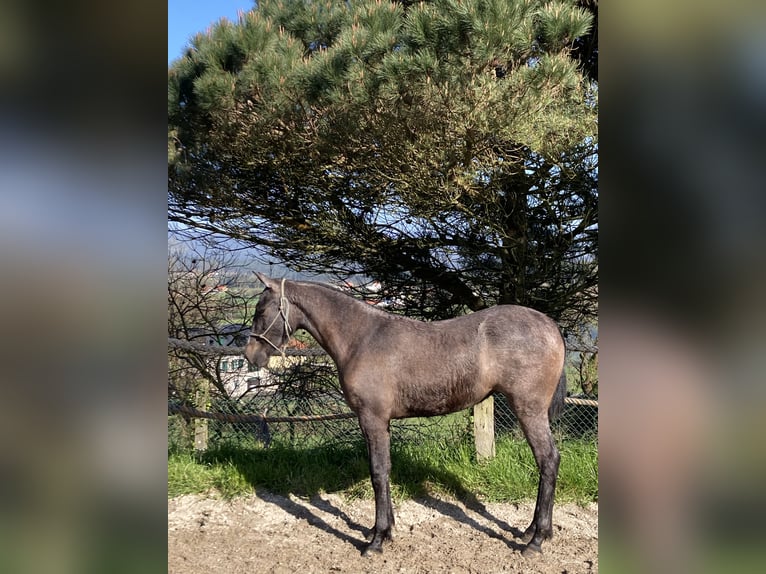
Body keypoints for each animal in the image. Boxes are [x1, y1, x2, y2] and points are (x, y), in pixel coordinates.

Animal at [244, 274, 567, 557]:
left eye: (261, 310)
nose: (250, 355)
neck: (360, 338)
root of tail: (549, 325)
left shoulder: (372, 419)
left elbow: (377, 473)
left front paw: (376, 541)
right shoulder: (381, 423)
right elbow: (385, 470)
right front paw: (384, 530)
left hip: (529, 410)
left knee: (548, 460)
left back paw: (536, 540)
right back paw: (531, 531)